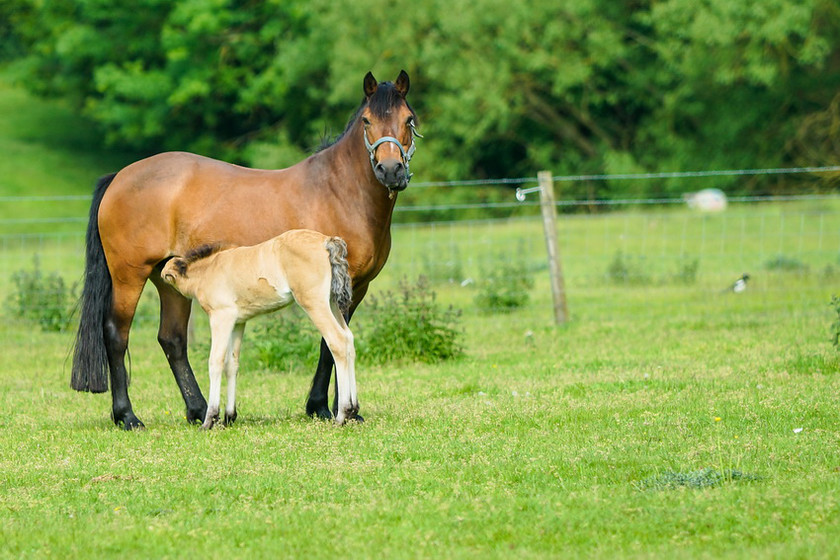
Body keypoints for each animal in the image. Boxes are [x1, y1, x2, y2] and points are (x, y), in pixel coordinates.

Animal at [161, 230, 358, 426]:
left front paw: (210, 420)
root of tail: (327, 241)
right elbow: (232, 364)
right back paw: (353, 409)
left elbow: (215, 362)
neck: (209, 270)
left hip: (314, 303)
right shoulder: (238, 322)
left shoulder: (221, 317)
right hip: (332, 303)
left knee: (337, 341)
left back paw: (342, 415)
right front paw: (229, 417)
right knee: (348, 339)